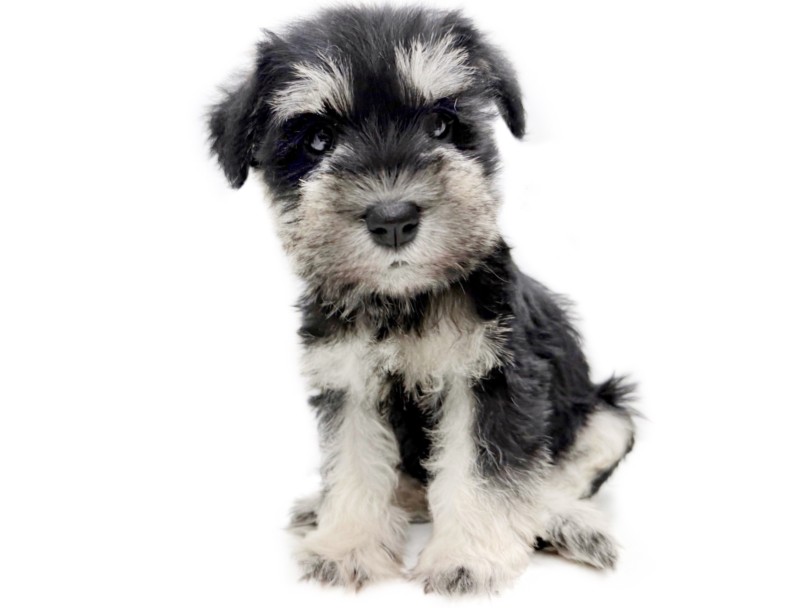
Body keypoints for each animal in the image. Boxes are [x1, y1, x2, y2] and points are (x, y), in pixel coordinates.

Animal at [208, 4, 636, 595]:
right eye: (317, 140)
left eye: (440, 124)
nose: (392, 219)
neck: (402, 300)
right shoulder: (348, 381)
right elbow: (355, 460)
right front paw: (349, 545)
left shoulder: (490, 378)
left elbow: (484, 472)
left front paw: (468, 559)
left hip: (608, 415)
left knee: (559, 477)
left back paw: (568, 525)